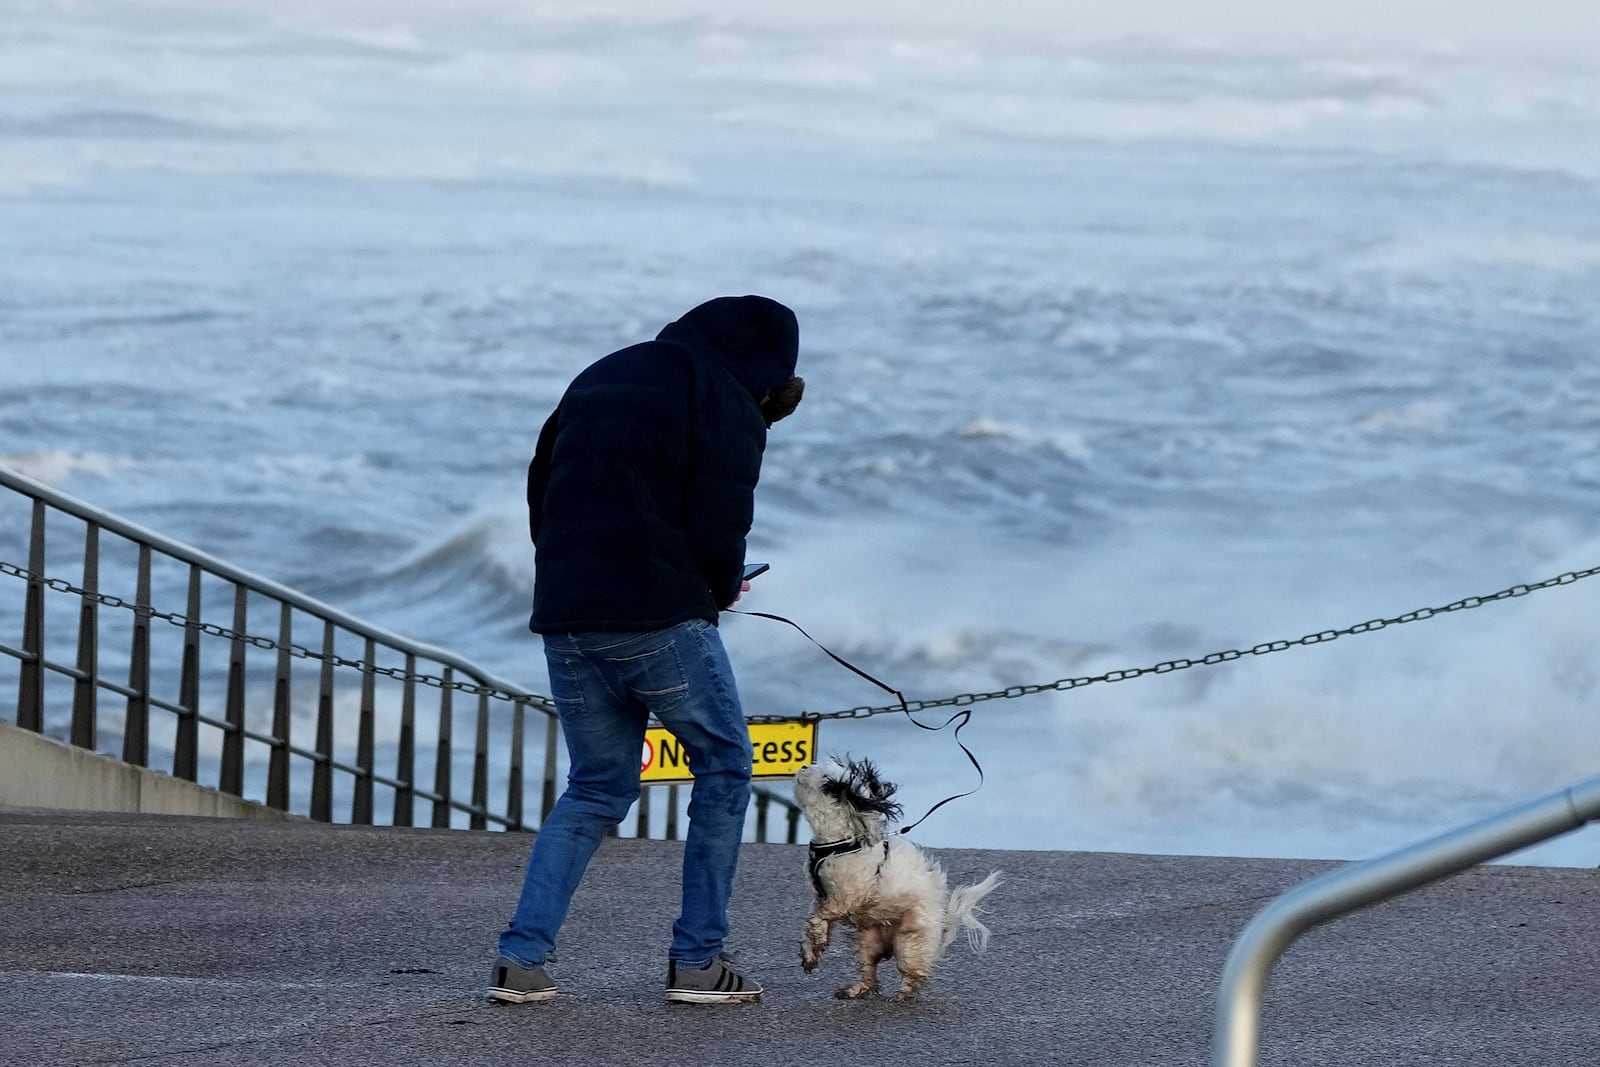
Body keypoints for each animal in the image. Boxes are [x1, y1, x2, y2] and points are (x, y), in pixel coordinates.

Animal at [790, 755, 998, 998]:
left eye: (826, 780)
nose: (804, 765)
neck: (843, 842)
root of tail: (943, 921)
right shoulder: (821, 895)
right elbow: (814, 922)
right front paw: (810, 952)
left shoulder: (847, 897)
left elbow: (819, 917)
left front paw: (818, 938)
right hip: (867, 943)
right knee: (870, 976)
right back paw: (855, 990)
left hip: (909, 943)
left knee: (913, 974)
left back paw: (902, 994)